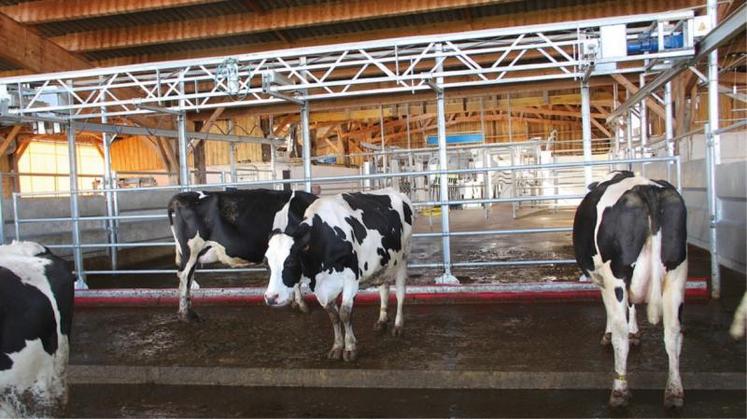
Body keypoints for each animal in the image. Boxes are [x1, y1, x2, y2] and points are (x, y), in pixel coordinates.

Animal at [168, 190, 318, 322]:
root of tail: (181, 197)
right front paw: (301, 304)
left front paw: (295, 302)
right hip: (191, 251)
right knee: (184, 277)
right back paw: (186, 314)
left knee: (188, 278)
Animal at [264, 189, 414, 362]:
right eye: (267, 264)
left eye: (290, 262)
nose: (270, 297)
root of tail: (396, 191)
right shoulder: (321, 288)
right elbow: (333, 316)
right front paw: (337, 346)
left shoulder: (351, 280)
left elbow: (345, 313)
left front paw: (349, 348)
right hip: (383, 263)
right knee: (384, 289)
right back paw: (382, 321)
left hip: (403, 260)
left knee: (401, 294)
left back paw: (398, 325)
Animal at [572, 171, 688, 410]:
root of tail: (646, 188)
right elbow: (633, 305)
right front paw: (636, 332)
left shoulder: (606, 281)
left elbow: (612, 312)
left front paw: (608, 334)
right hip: (676, 273)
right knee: (673, 333)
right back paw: (674, 391)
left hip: (617, 273)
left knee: (621, 336)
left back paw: (619, 390)